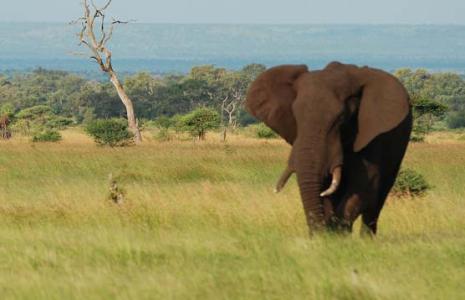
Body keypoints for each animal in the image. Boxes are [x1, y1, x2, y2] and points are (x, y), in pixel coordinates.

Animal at [245, 61, 412, 234]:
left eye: (341, 118)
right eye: (295, 116)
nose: (316, 236)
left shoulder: (374, 135)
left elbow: (365, 185)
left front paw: (335, 235)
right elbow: (325, 189)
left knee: (376, 202)